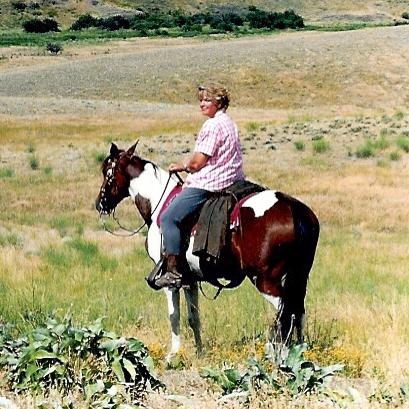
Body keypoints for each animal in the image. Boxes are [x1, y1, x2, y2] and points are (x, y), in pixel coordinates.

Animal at [95, 142, 318, 362]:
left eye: (107, 172)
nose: (100, 203)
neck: (159, 202)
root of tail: (294, 209)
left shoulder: (170, 281)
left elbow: (174, 316)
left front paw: (173, 355)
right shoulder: (190, 280)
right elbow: (194, 318)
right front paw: (200, 352)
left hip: (266, 280)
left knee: (285, 314)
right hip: (299, 277)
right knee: (298, 311)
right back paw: (299, 354)